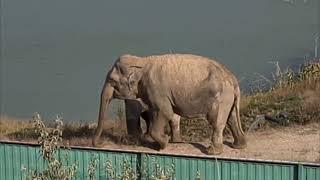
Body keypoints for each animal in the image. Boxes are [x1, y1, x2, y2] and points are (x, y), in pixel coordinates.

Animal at [92, 53, 248, 155]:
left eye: (112, 81)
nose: (101, 144)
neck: (142, 61)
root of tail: (233, 79)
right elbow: (170, 114)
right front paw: (172, 142)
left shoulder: (156, 88)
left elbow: (164, 111)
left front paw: (163, 144)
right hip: (228, 97)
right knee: (231, 119)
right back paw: (239, 146)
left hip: (221, 96)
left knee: (216, 120)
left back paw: (212, 152)